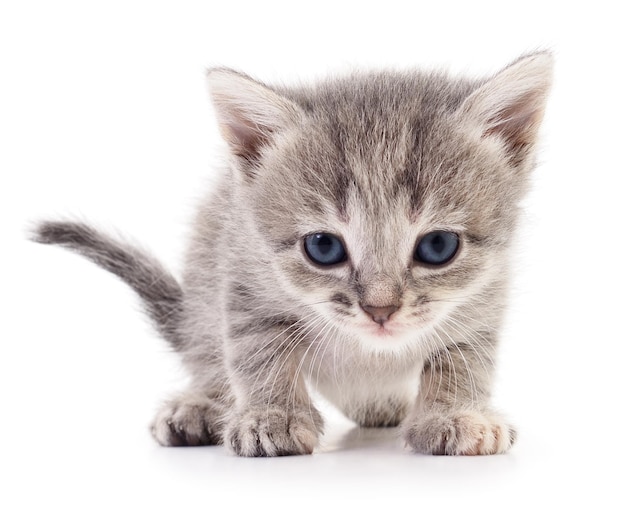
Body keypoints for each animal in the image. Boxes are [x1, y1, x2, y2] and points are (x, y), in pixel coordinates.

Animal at [33, 52, 552, 456]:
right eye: (323, 247)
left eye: (438, 246)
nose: (380, 310)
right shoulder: (242, 274)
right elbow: (257, 350)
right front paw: (271, 415)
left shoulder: (482, 301)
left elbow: (463, 358)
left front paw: (456, 415)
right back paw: (199, 407)